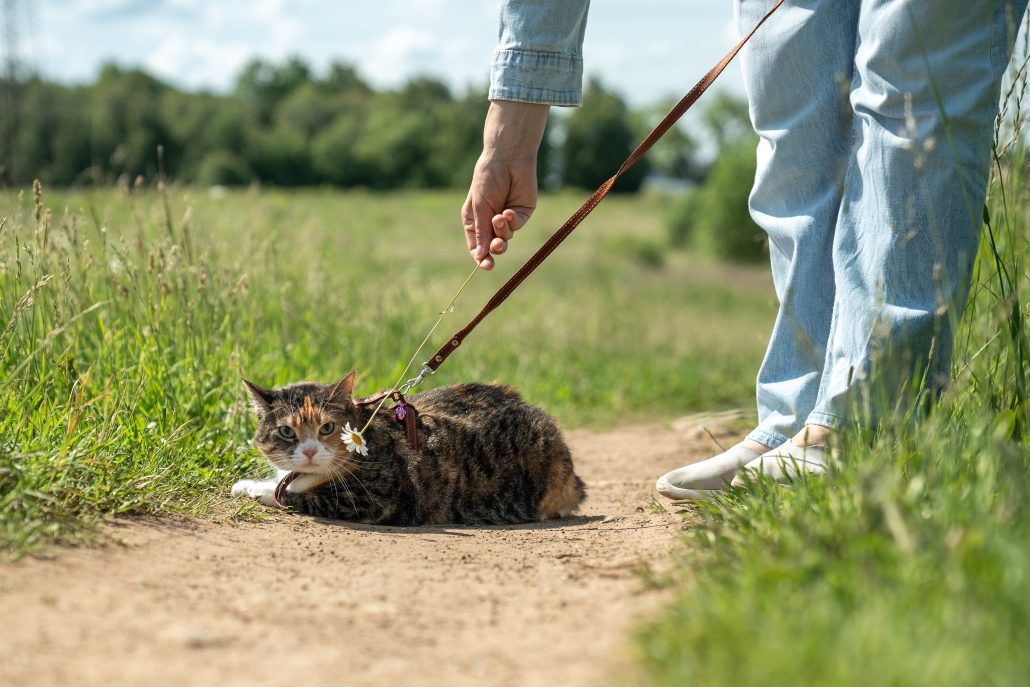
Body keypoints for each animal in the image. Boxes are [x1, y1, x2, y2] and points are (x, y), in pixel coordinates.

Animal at [233, 370, 589, 527]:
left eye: (327, 428)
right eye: (286, 431)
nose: (308, 451)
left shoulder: (372, 498)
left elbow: (292, 494)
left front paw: (253, 488)